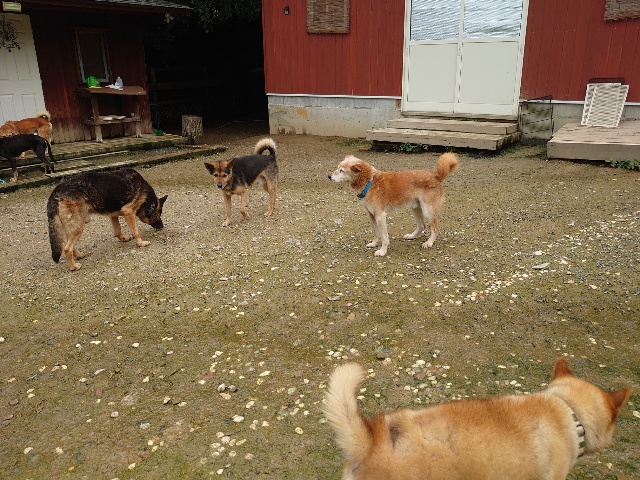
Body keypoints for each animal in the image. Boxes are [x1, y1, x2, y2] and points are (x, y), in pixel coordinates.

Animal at [328, 153, 458, 256]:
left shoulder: (380, 216)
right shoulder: (371, 215)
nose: (328, 176)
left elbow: (384, 237)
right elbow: (376, 233)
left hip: (428, 210)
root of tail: (437, 176)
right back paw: (411, 236)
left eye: (341, 170)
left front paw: (382, 251)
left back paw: (429, 243)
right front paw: (374, 244)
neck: (369, 182)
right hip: (415, 207)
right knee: (422, 225)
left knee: (435, 229)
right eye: (337, 168)